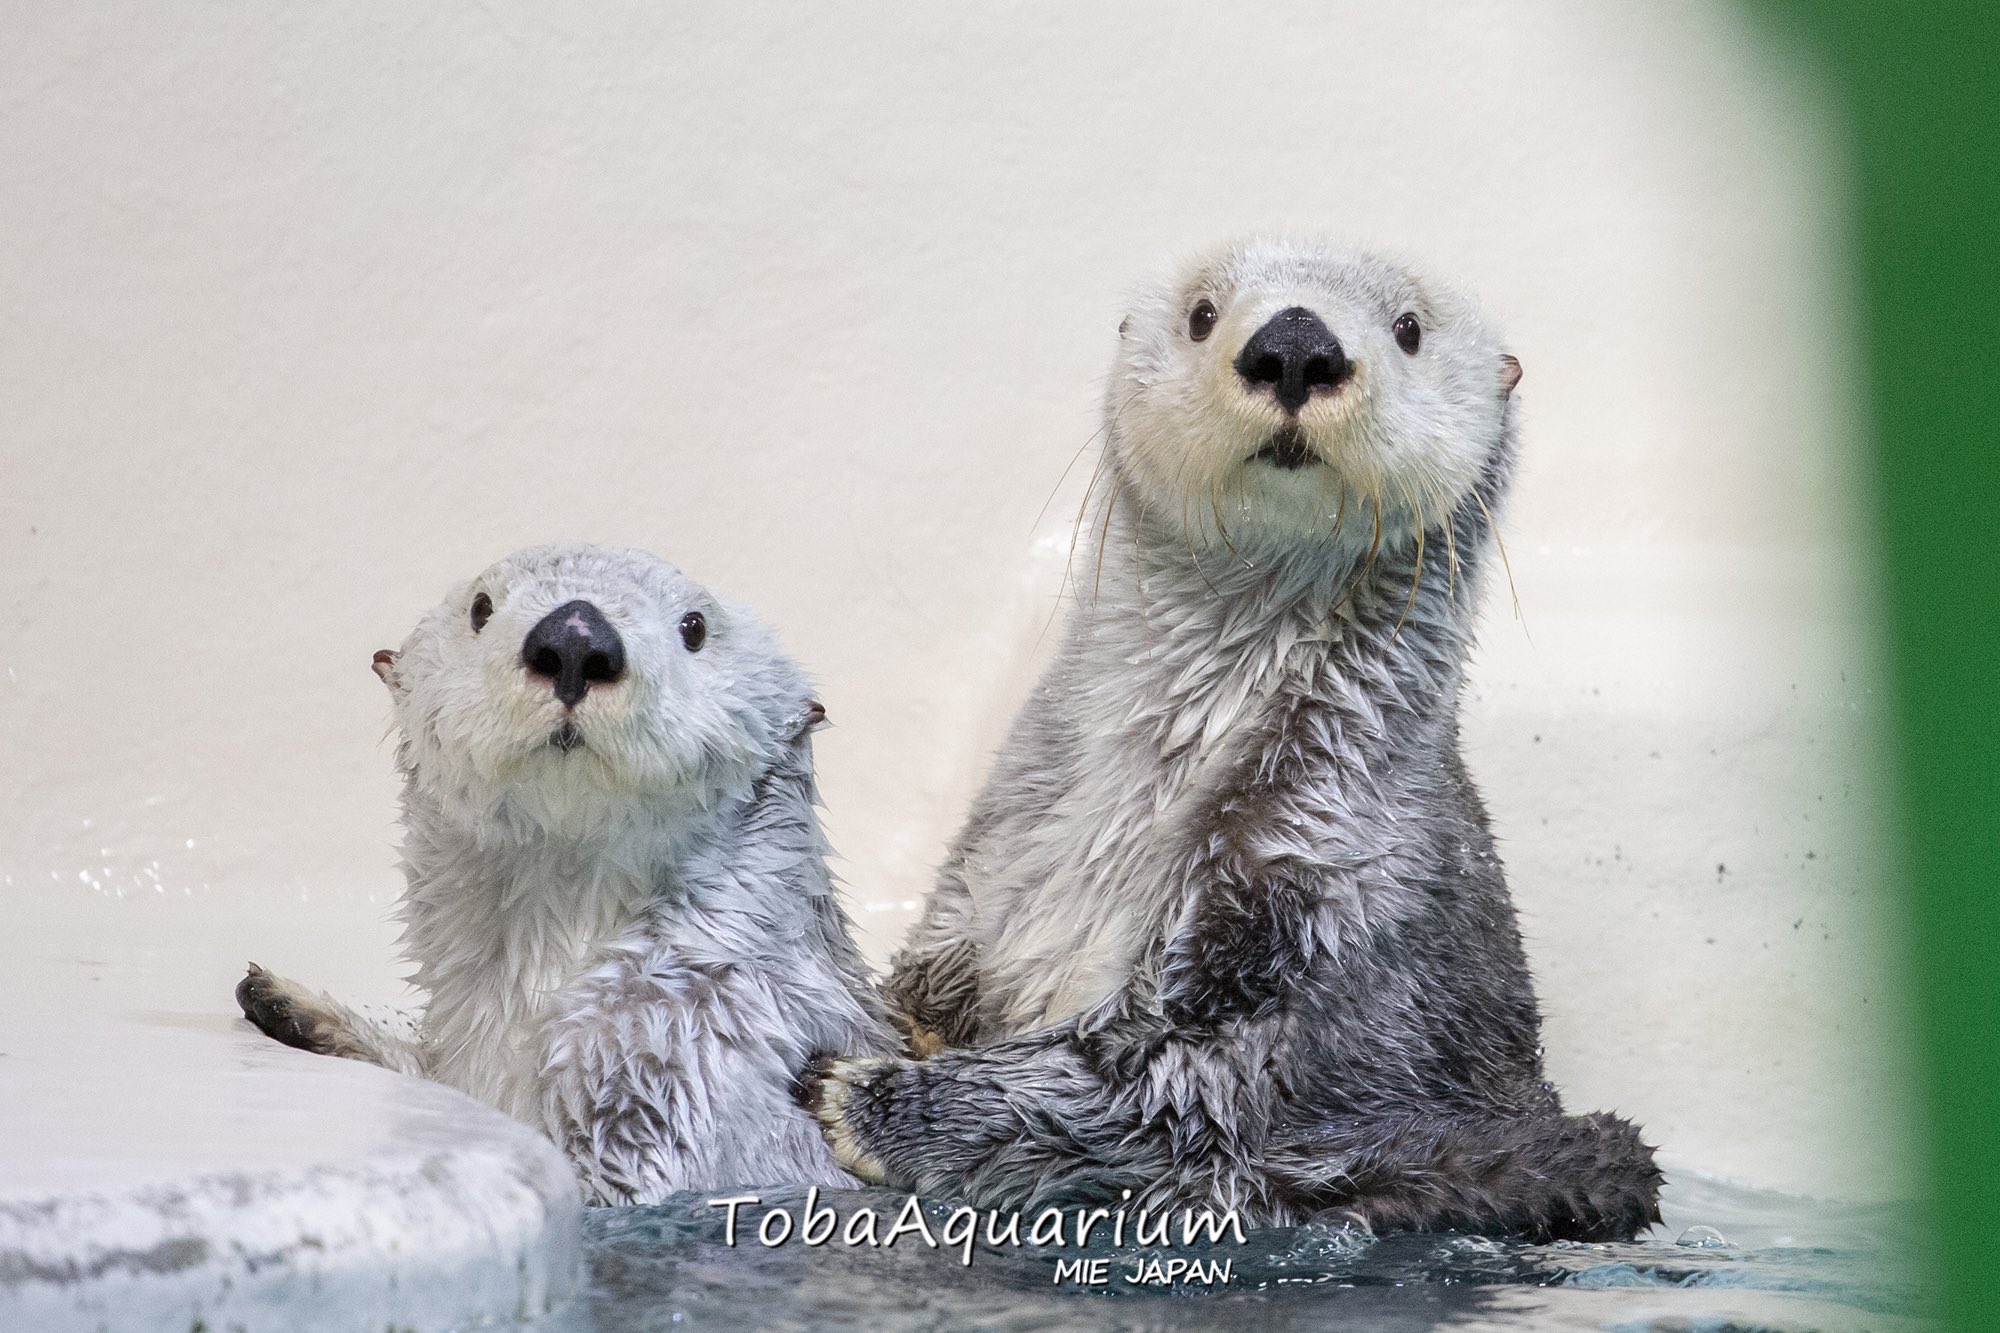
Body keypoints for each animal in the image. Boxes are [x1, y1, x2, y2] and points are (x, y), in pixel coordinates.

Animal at [804, 236, 1664, 1232]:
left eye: (1409, 327)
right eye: (1203, 313)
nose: (1295, 343)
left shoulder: (1321, 900)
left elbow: (1163, 1097)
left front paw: (867, 1098)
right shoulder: (996, 846)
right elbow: (937, 973)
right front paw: (893, 1020)